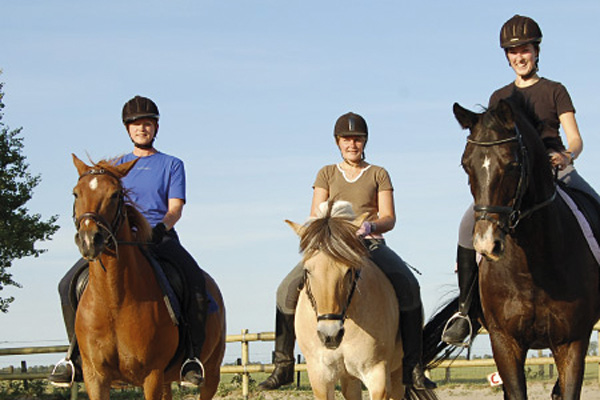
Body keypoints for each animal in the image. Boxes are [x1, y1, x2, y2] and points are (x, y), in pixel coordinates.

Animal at [71, 155, 225, 398]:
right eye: (76, 193)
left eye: (115, 194)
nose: (89, 240)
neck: (113, 301)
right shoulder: (95, 376)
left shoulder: (150, 375)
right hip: (166, 378)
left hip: (210, 373)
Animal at [454, 101, 600, 400]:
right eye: (466, 165)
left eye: (512, 164)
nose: (486, 243)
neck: (532, 269)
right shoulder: (504, 341)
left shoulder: (573, 342)